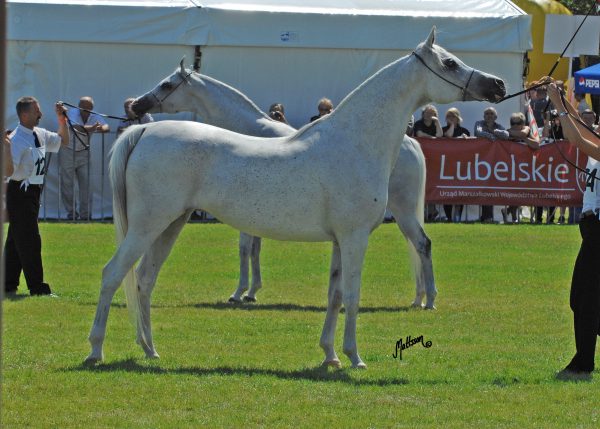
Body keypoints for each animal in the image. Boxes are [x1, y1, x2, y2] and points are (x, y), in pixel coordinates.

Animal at [131, 60, 434, 306]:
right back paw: (418, 297)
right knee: (416, 244)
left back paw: (427, 299)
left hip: (403, 210)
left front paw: (239, 292)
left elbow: (245, 249)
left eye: (167, 84)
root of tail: (411, 144)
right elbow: (255, 249)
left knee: (422, 243)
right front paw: (252, 291)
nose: (136, 104)